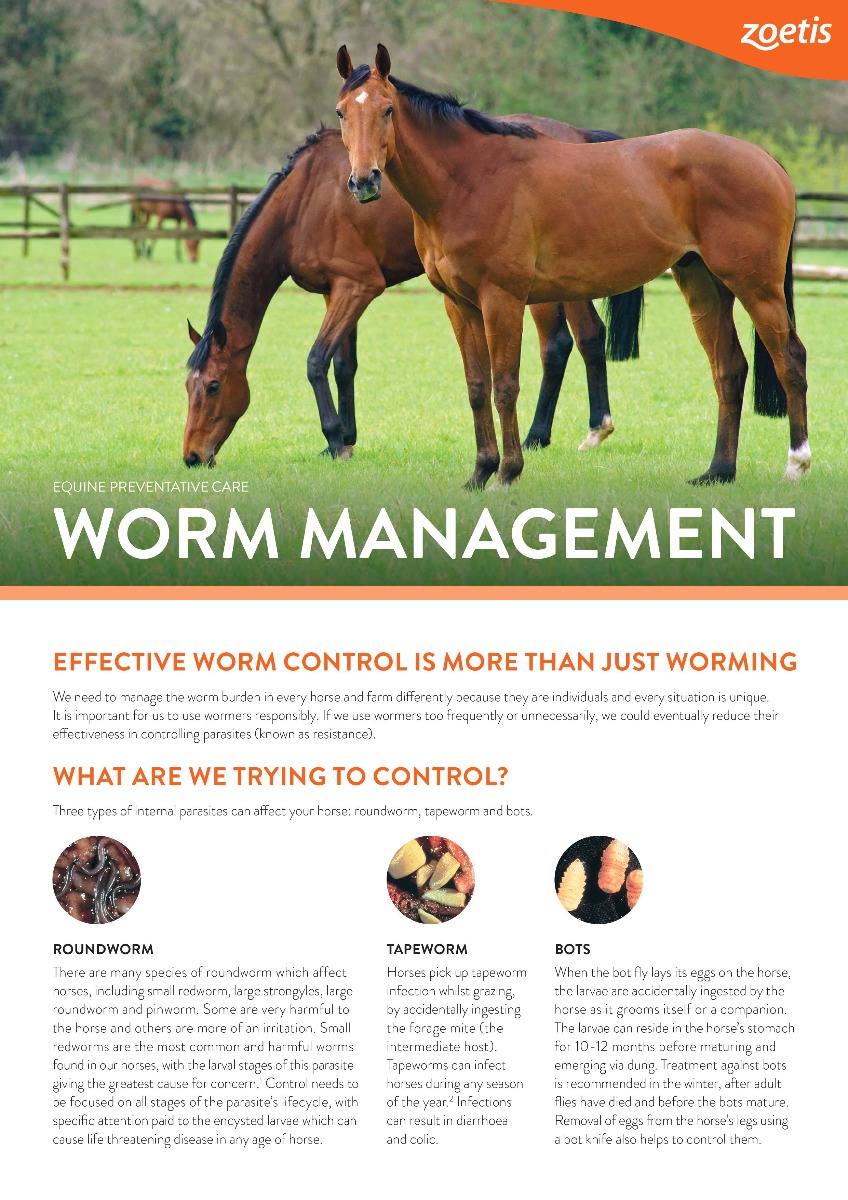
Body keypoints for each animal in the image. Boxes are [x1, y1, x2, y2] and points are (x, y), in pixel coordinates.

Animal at [183, 128, 642, 467]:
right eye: (187, 387)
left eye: (213, 386)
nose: (192, 456)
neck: (304, 202)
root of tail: (580, 137)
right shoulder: (336, 291)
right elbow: (343, 365)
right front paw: (346, 437)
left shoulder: (358, 286)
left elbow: (316, 361)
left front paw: (334, 439)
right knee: (580, 339)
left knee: (567, 343)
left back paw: (553, 433)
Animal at [336, 46, 809, 488]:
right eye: (342, 112)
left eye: (387, 109)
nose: (364, 181)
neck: (470, 180)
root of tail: (765, 159)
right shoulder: (459, 305)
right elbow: (477, 388)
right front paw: (480, 472)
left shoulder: (502, 299)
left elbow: (505, 386)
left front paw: (507, 472)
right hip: (704, 285)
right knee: (730, 369)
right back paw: (718, 471)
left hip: (757, 288)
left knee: (790, 360)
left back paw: (796, 464)